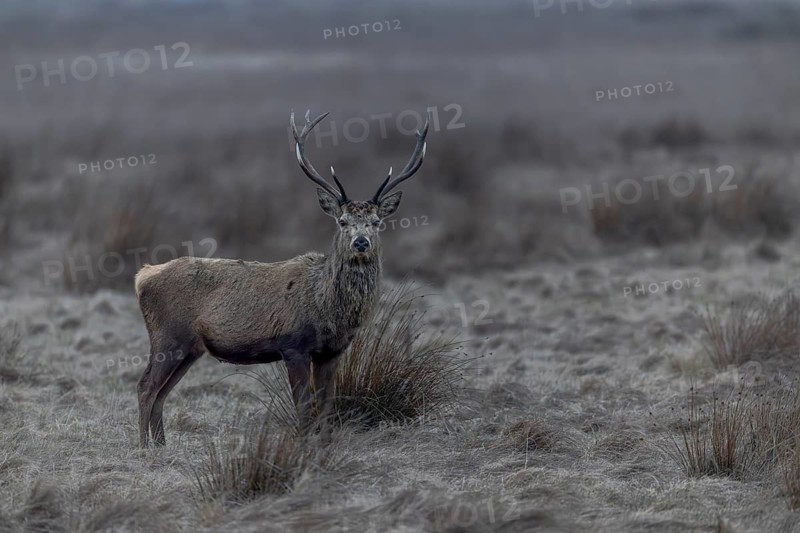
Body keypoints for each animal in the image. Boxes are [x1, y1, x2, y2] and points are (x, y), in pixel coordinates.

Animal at [134, 110, 429, 447]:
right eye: (342, 221)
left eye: (377, 221)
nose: (361, 242)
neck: (328, 308)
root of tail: (143, 276)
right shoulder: (294, 345)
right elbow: (304, 407)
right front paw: (302, 447)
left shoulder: (331, 352)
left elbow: (326, 406)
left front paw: (324, 448)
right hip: (169, 336)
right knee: (145, 386)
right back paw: (142, 446)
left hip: (190, 348)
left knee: (162, 392)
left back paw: (160, 445)